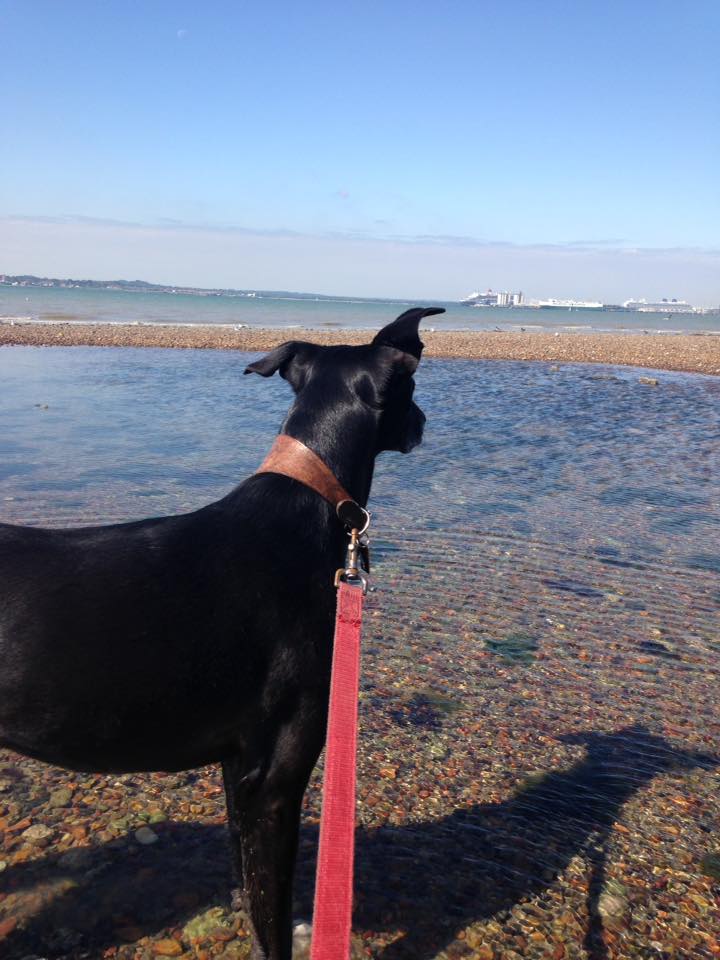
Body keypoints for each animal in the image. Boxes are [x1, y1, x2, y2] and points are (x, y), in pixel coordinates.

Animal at [0, 310, 442, 960]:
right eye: (410, 390)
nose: (424, 423)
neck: (307, 500)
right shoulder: (276, 779)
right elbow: (272, 916)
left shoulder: (239, 769)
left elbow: (247, 883)